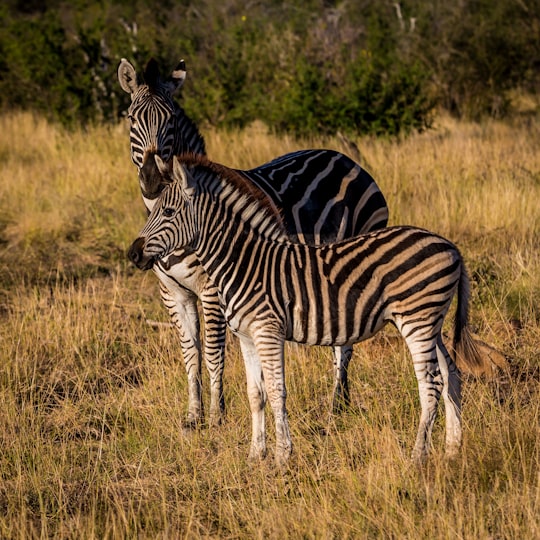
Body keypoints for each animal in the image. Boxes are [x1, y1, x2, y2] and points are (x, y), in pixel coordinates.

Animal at [118, 57, 388, 428]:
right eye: (132, 117)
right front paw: (193, 416)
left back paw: (336, 406)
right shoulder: (173, 293)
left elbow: (213, 351)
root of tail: (346, 159)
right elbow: (190, 352)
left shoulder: (212, 289)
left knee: (344, 343)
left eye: (170, 118)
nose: (152, 178)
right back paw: (341, 403)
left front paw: (217, 416)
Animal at [129, 154, 488, 466]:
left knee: (430, 385)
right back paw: (452, 449)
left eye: (169, 212)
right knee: (451, 375)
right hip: (431, 323)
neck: (244, 262)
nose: (133, 253)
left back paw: (418, 457)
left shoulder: (268, 331)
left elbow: (276, 392)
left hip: (417, 320)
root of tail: (451, 246)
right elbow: (255, 394)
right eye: (154, 210)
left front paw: (281, 456)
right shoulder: (246, 336)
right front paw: (255, 456)